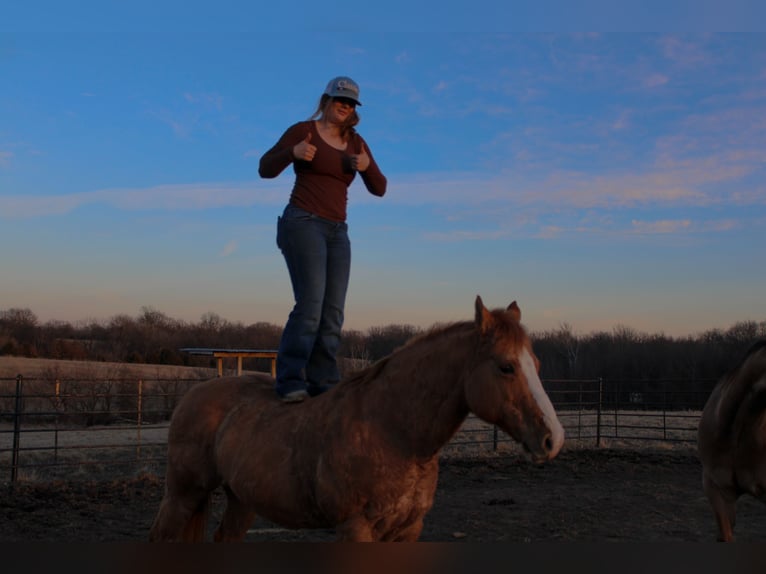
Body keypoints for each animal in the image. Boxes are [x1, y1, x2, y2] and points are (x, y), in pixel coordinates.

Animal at [149, 296, 565, 542]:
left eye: (536, 363)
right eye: (506, 366)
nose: (553, 438)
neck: (393, 431)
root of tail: (194, 394)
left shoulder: (407, 532)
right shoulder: (355, 529)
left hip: (242, 500)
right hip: (183, 495)